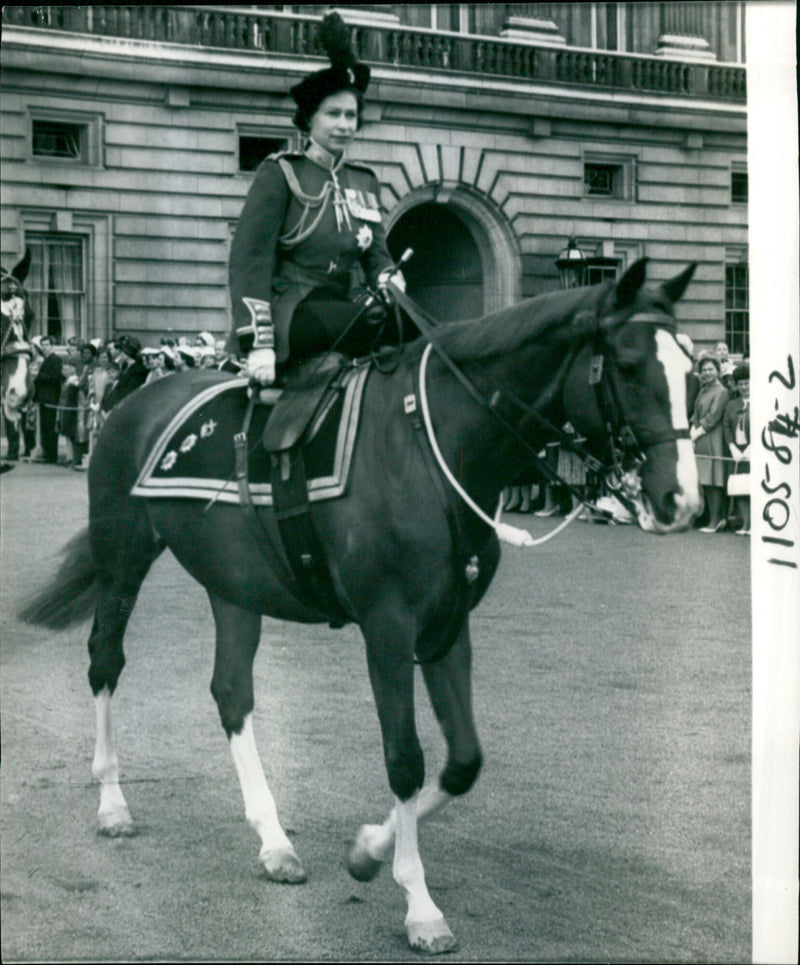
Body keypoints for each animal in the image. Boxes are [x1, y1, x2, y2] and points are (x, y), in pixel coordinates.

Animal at [21, 260, 700, 952]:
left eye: (693, 372)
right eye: (627, 364)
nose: (683, 501)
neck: (433, 445)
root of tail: (128, 401)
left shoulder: (448, 625)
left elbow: (462, 762)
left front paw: (369, 850)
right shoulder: (389, 628)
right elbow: (405, 760)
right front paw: (418, 901)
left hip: (235, 585)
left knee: (231, 693)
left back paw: (273, 840)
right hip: (122, 558)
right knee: (105, 662)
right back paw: (113, 803)